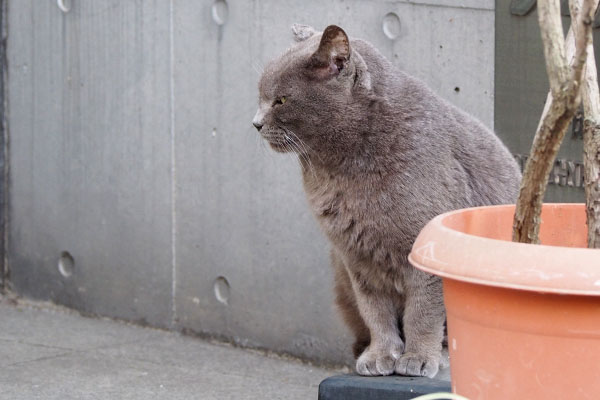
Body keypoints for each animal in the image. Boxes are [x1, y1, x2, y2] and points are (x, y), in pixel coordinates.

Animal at [253, 25, 520, 378]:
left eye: (281, 100)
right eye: (260, 97)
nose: (255, 122)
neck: (341, 171)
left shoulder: (426, 250)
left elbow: (423, 312)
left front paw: (418, 358)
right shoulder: (356, 257)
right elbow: (376, 312)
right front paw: (381, 355)